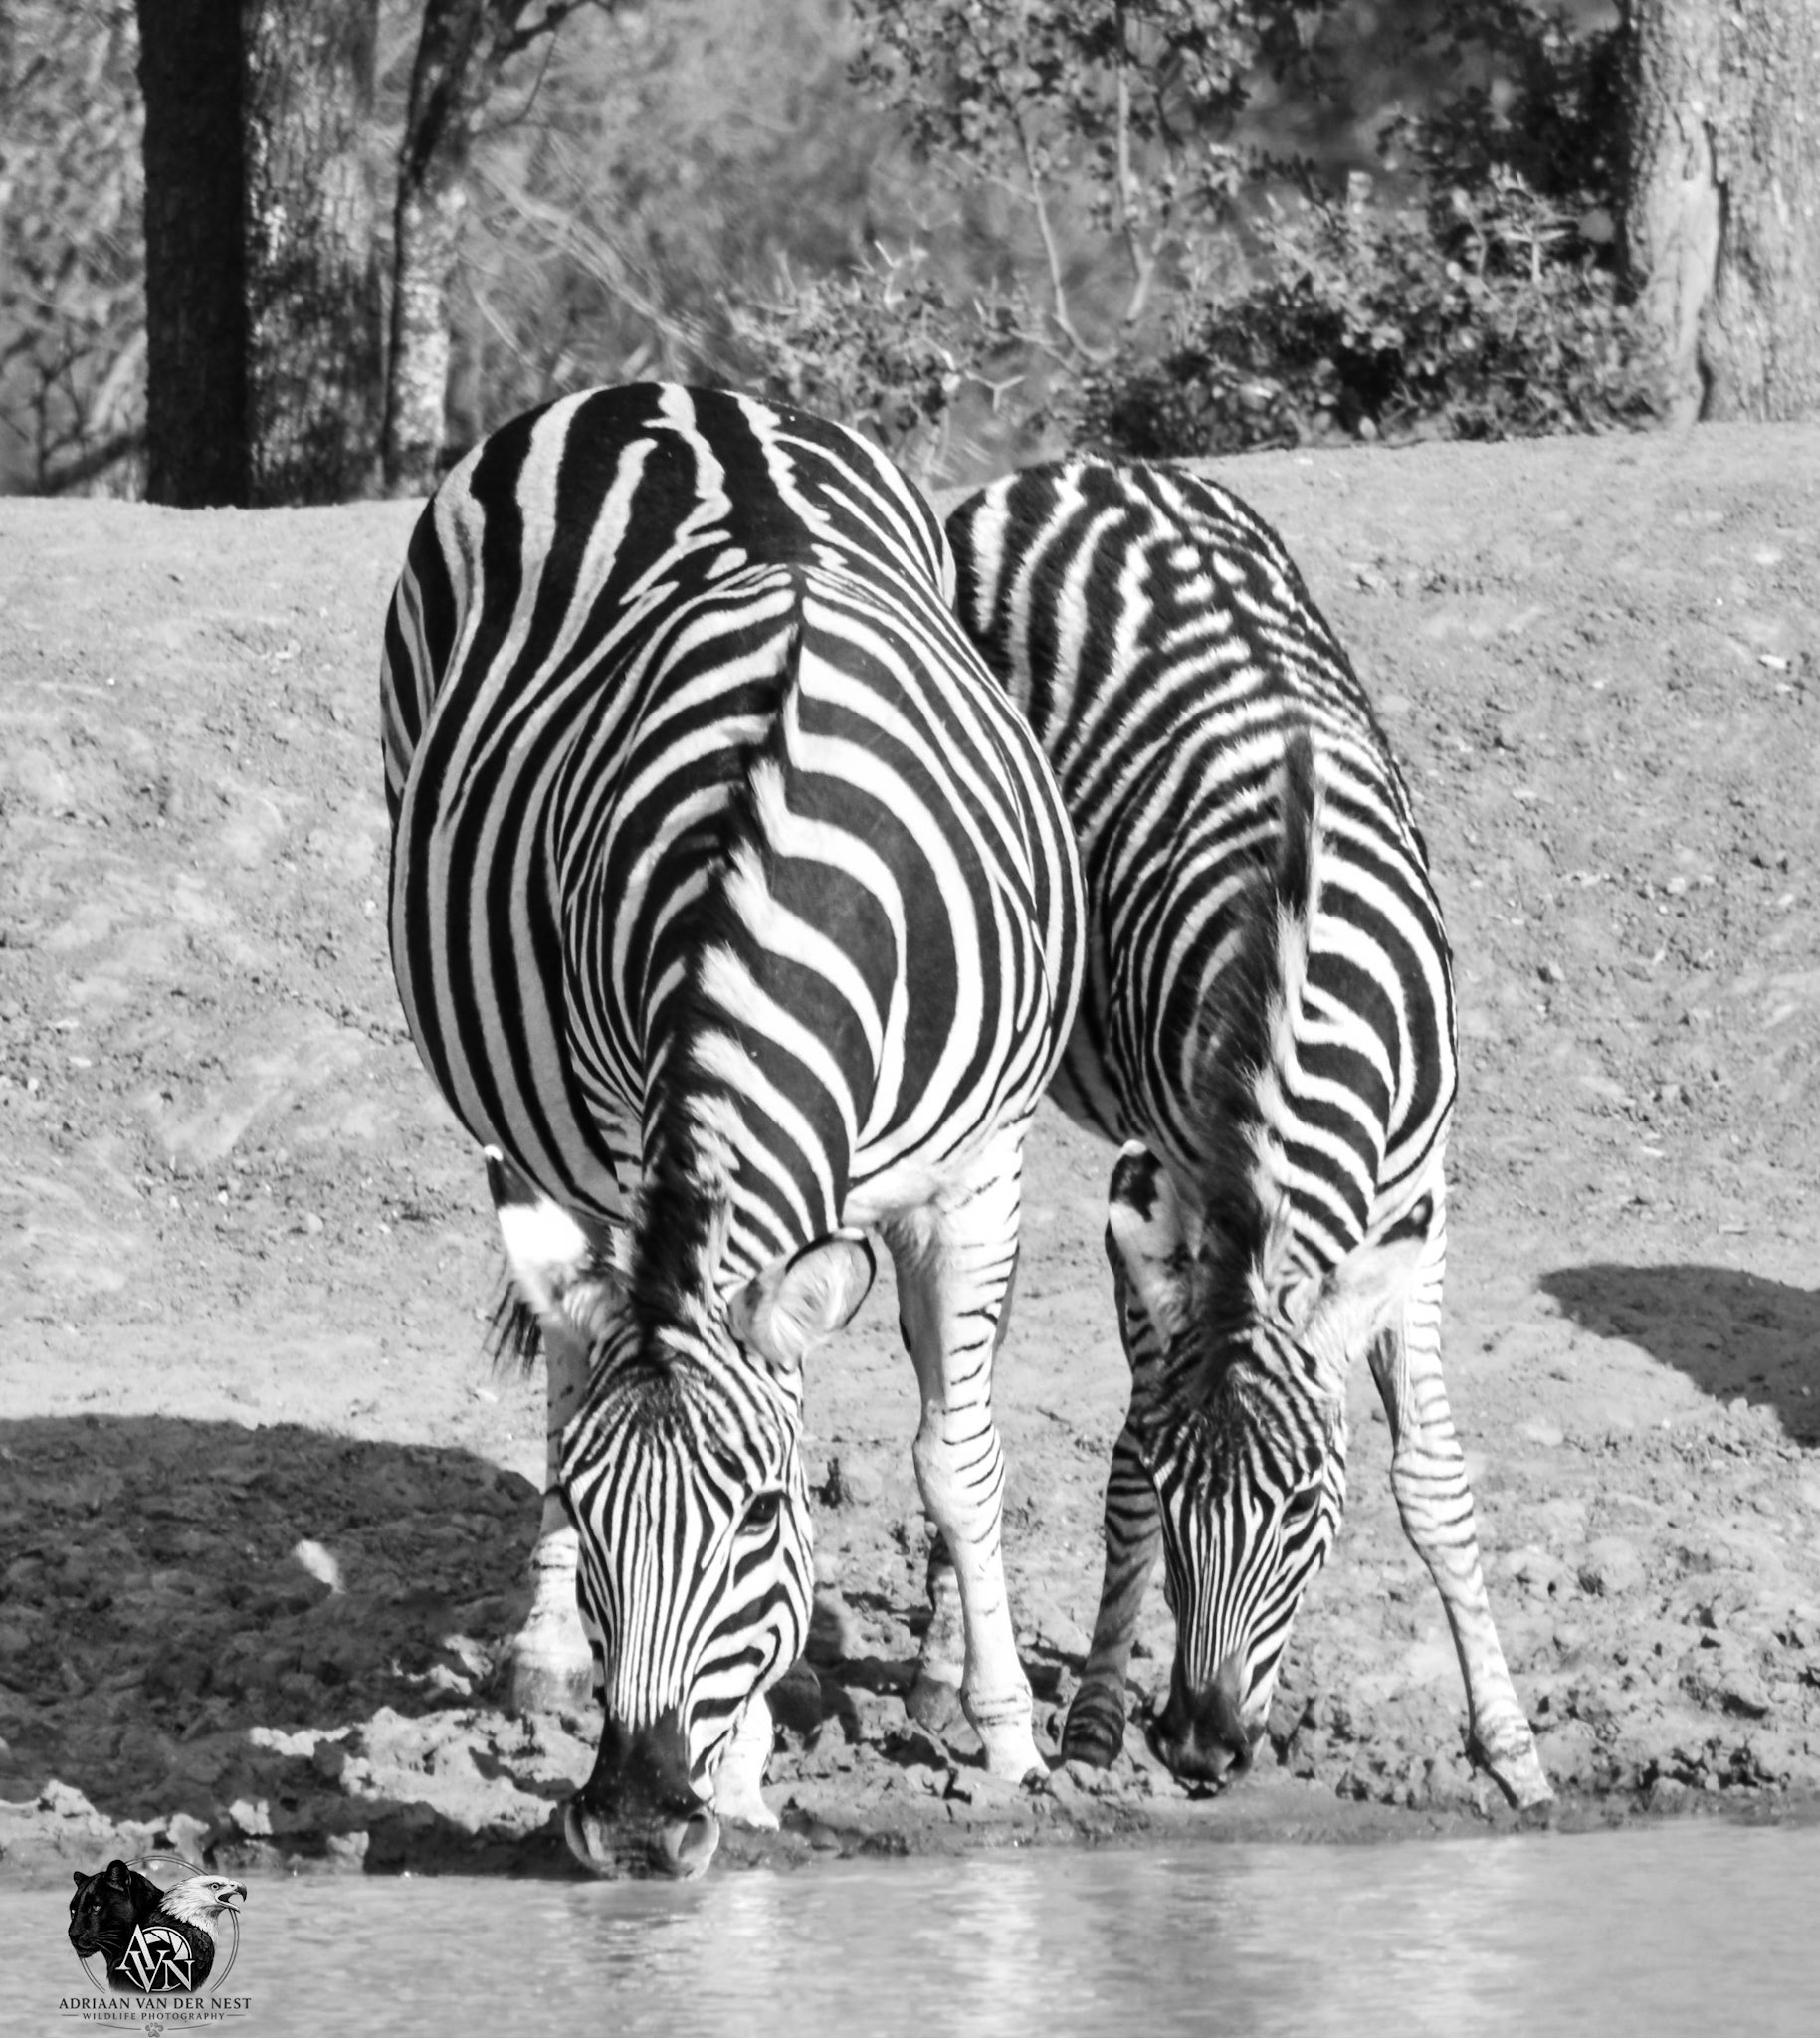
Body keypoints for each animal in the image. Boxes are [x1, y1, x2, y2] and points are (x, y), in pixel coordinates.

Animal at [381, 383, 1084, 1876]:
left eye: (763, 1511)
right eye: (593, 1515)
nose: (641, 1818)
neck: (777, 869)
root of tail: (661, 391)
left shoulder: (979, 1163)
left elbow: (957, 1452)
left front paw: (1000, 1730)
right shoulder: (618, 1130)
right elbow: (615, 1388)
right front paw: (748, 1760)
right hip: (528, 1109)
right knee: (565, 1362)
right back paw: (548, 1657)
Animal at [945, 456, 1551, 1811]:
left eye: (1306, 1504)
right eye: (1186, 1501)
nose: (1201, 1747)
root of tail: (1075, 464)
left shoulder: (1418, 1198)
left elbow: (1433, 1483)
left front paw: (1511, 1747)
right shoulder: (1158, 1182)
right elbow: (1122, 1447)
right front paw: (1093, 1716)